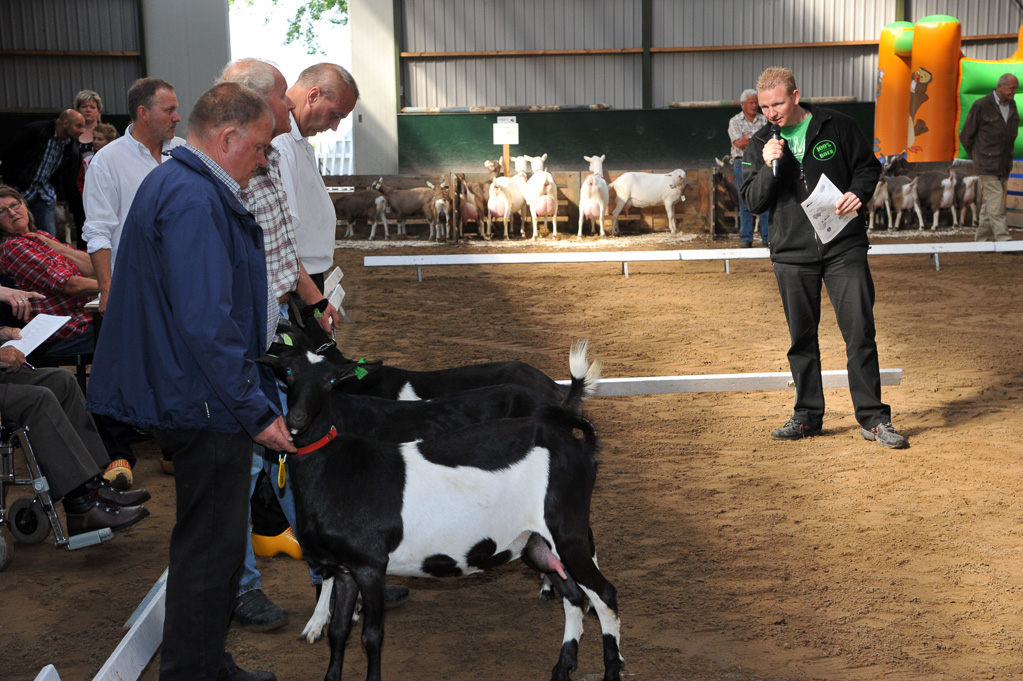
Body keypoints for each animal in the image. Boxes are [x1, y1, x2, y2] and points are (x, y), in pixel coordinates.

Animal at [255, 347, 621, 678]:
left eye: (330, 381)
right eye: (289, 374)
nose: (296, 420)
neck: (335, 465)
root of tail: (580, 443)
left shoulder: (370, 566)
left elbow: (371, 637)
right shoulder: (345, 568)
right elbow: (339, 632)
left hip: (567, 531)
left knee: (603, 595)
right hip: (537, 543)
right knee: (573, 594)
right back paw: (562, 666)